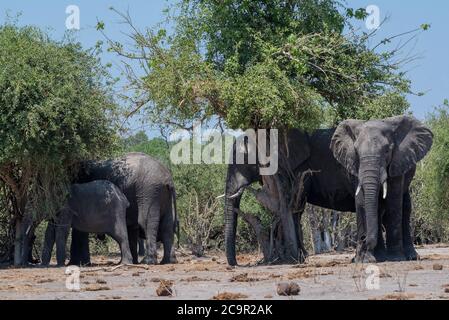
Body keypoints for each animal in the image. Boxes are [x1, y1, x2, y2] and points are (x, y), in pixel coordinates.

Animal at [330, 115, 432, 262]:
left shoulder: (398, 160)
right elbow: (362, 201)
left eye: (387, 151)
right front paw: (369, 259)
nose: (363, 238)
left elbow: (393, 200)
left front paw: (396, 258)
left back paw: (411, 257)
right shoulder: (354, 165)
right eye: (356, 152)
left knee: (405, 207)